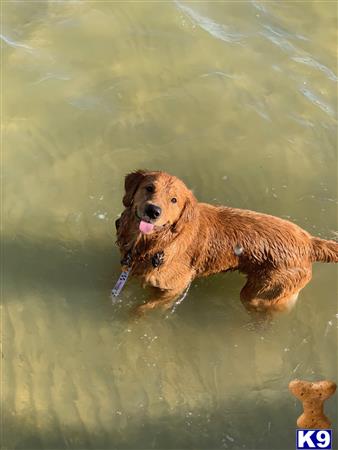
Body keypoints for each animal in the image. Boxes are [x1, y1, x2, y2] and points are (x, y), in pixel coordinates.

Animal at [115, 170, 336, 316]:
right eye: (149, 188)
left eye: (174, 200)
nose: (153, 211)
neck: (156, 243)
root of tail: (309, 241)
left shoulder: (174, 289)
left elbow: (143, 308)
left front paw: (130, 318)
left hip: (258, 294)